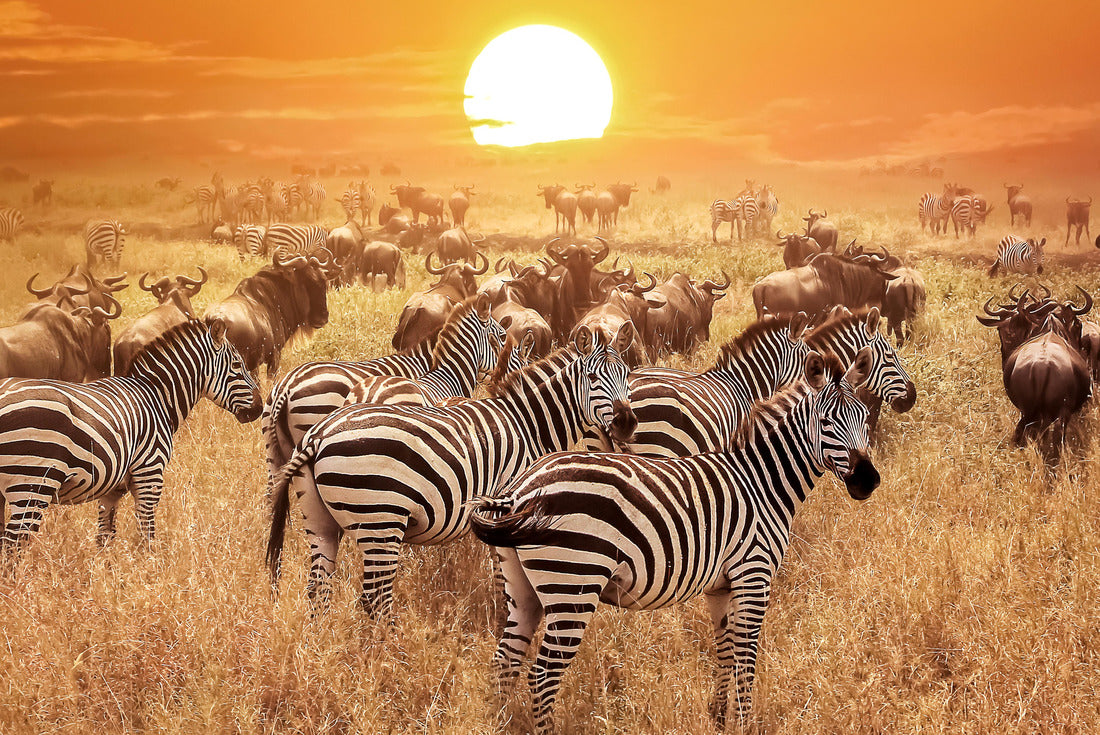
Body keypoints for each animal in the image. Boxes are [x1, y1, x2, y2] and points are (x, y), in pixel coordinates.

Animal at [0, 319, 261, 552]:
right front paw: (149, 570)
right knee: (13, 547)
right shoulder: (149, 473)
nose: (259, 408)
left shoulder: (111, 489)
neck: (156, 397)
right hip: (32, 484)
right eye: (237, 365)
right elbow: (147, 535)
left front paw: (107, 574)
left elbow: (105, 538)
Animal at [265, 324, 636, 616]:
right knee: (374, 598)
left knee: (318, 587)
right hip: (380, 519)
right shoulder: (507, 507)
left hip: (320, 519)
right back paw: (389, 653)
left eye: (627, 376)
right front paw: (501, 613)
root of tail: (319, 434)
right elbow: (502, 574)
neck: (526, 423)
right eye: (592, 378)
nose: (627, 423)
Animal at [468, 349, 878, 734]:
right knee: (541, 675)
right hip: (573, 583)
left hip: (523, 588)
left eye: (864, 418)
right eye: (826, 423)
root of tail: (520, 490)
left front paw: (719, 717)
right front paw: (744, 724)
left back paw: (501, 723)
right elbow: (746, 656)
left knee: (505, 662)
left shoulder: (720, 586)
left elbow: (724, 650)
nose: (868, 481)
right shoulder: (753, 575)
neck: (761, 482)